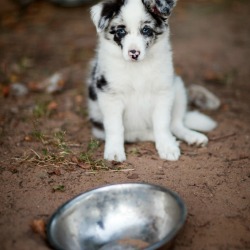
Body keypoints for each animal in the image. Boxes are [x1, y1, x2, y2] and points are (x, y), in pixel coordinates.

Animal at [87, 0, 216, 162]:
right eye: (121, 31)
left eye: (146, 30)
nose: (134, 53)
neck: (137, 68)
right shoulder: (110, 95)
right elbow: (115, 127)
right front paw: (114, 151)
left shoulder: (163, 92)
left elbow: (162, 123)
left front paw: (167, 146)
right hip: (97, 117)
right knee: (133, 134)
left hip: (178, 87)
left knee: (175, 124)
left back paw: (191, 137)